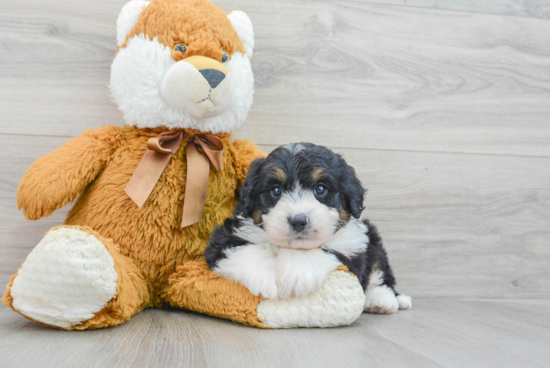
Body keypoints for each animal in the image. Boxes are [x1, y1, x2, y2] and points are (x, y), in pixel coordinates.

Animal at [207, 143, 414, 314]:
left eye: (320, 189)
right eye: (276, 191)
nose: (298, 221)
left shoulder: (353, 247)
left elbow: (322, 251)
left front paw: (296, 273)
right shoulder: (224, 237)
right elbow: (246, 249)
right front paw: (267, 279)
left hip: (373, 239)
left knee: (381, 271)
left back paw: (383, 300)